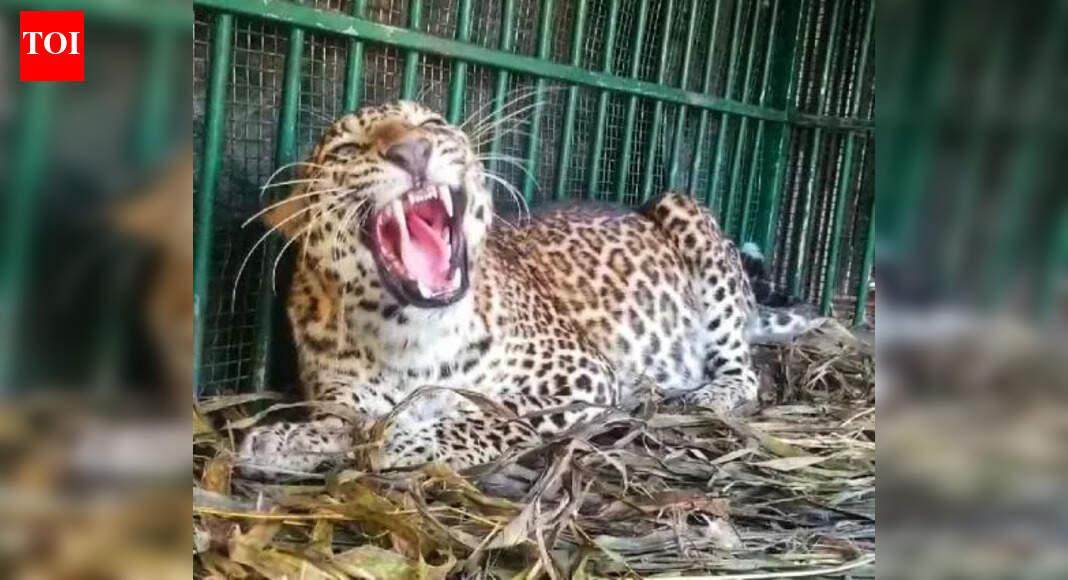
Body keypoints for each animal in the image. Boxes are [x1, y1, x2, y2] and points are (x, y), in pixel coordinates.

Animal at [238, 101, 811, 476]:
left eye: (431, 124)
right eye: (348, 148)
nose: (413, 150)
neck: (411, 336)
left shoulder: (582, 377)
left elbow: (491, 411)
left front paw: (409, 442)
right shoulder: (346, 396)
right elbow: (343, 421)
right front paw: (283, 439)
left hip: (683, 209)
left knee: (744, 369)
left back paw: (709, 394)